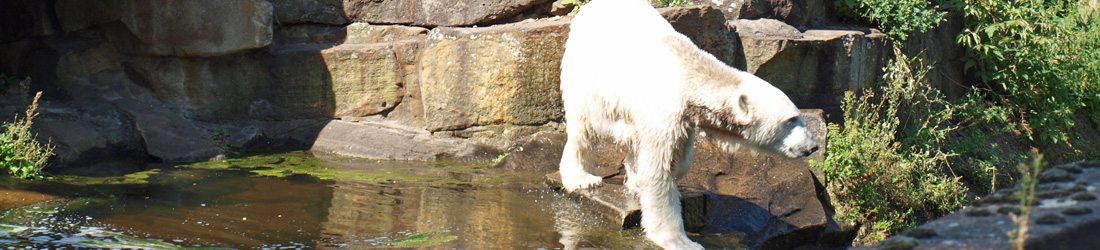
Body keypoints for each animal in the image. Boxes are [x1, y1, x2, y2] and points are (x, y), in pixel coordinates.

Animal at [563, 0, 822, 247]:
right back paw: (582, 178)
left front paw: (665, 173)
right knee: (583, 128)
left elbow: (680, 155)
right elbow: (658, 171)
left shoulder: (684, 119)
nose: (813, 146)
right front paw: (678, 240)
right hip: (586, 75)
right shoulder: (664, 112)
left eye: (797, 115)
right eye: (791, 119)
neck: (690, 73)